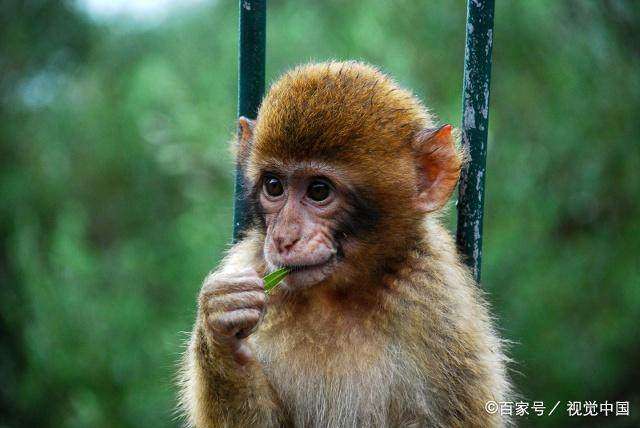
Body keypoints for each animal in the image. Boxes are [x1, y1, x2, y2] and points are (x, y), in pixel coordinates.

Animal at [178, 61, 512, 428]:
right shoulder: (249, 265)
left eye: (319, 191)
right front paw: (220, 328)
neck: (337, 295)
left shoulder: (439, 300)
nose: (283, 238)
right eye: (273, 186)